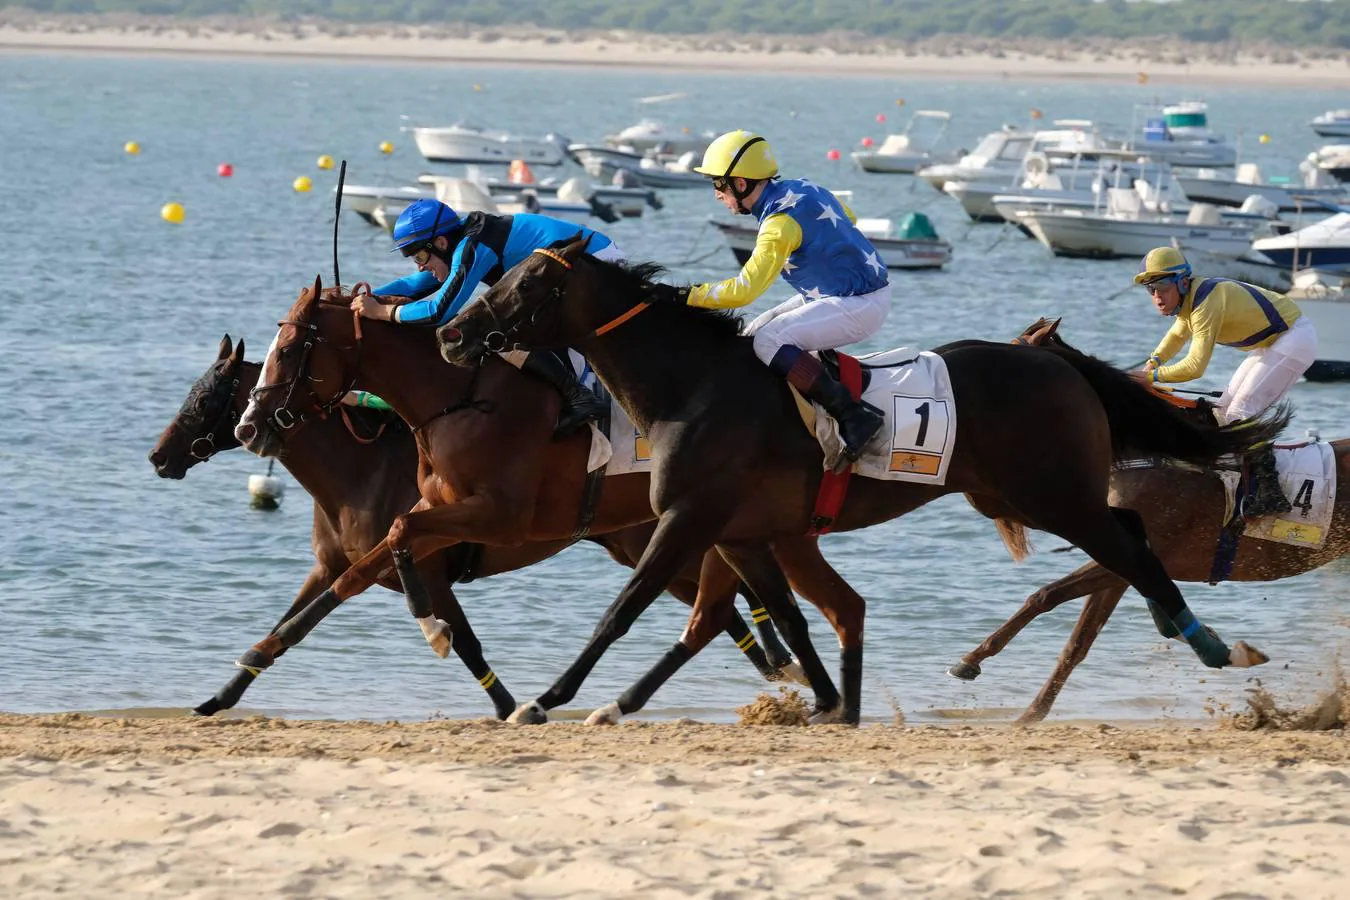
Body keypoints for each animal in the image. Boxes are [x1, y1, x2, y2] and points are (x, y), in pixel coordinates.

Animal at [232, 277, 837, 723]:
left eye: (291, 349)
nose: (249, 427)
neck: (457, 399)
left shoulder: (499, 517)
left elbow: (400, 543)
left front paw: (436, 632)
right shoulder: (439, 515)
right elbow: (362, 568)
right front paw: (259, 653)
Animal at [440, 237, 1285, 723]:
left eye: (523, 284)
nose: (451, 333)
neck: (694, 386)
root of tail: (1058, 363)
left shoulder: (688, 519)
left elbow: (619, 612)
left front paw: (547, 700)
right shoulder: (742, 531)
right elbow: (789, 616)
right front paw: (822, 699)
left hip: (1052, 493)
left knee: (1131, 551)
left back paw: (1213, 646)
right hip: (1028, 495)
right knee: (1131, 540)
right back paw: (1185, 633)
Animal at [950, 319, 1350, 723]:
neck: (1153, 453)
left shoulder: (1124, 554)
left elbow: (1045, 595)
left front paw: (972, 660)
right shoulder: (1124, 559)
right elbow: (1078, 642)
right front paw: (1032, 711)